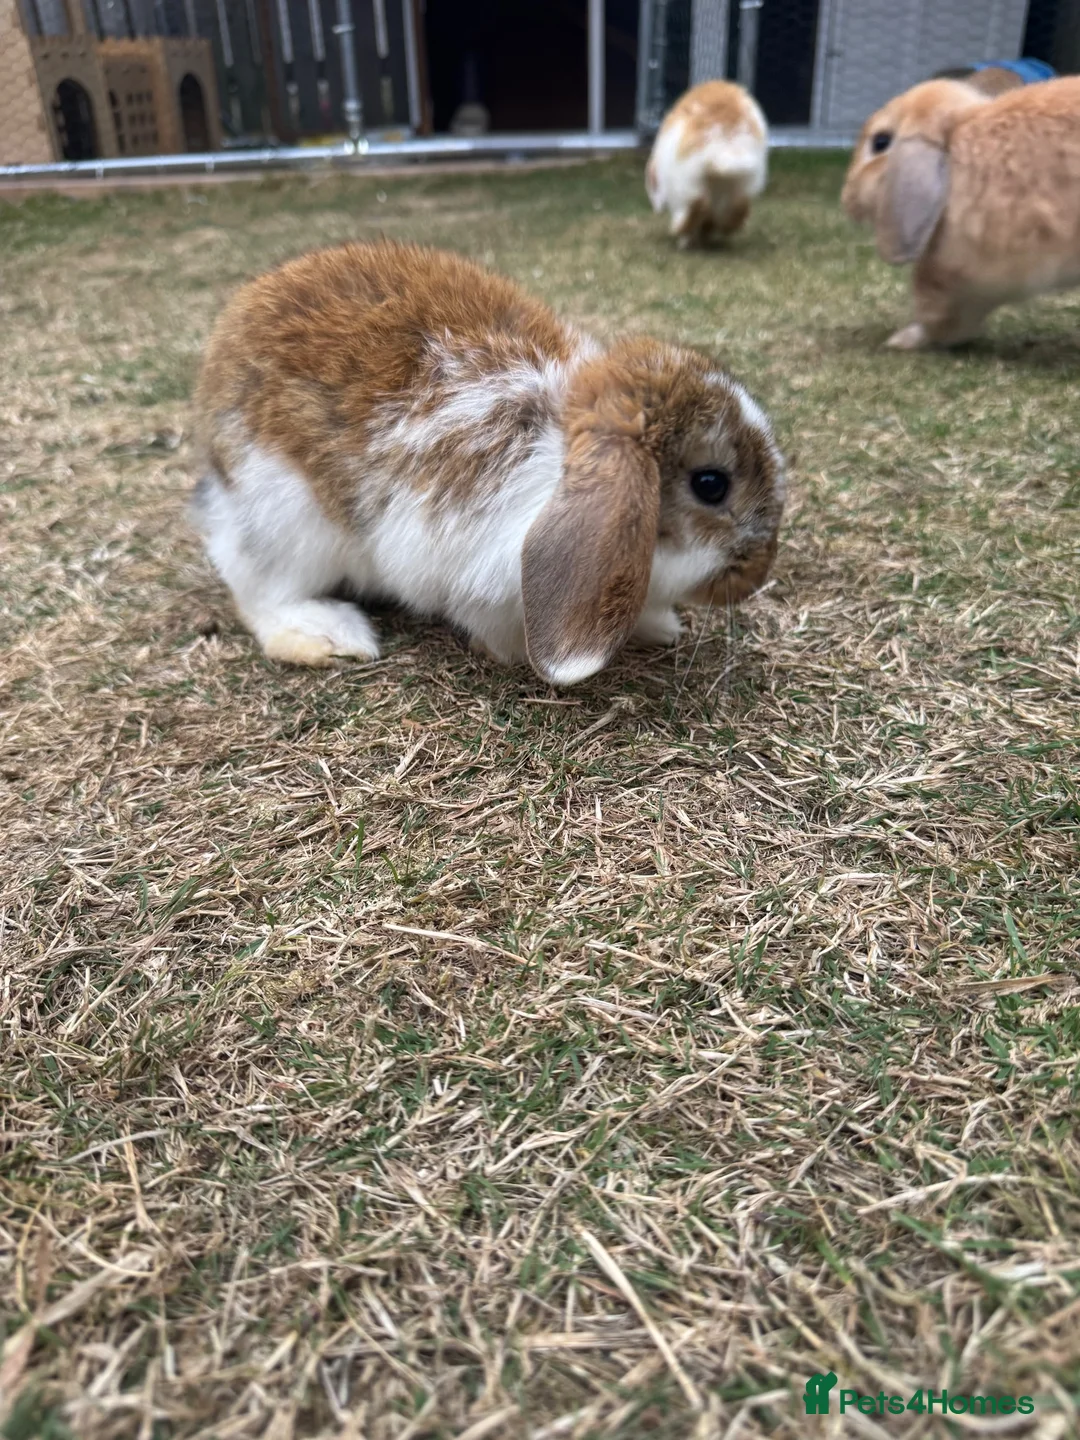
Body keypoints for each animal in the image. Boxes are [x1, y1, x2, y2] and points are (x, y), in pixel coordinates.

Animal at [191, 241, 785, 687]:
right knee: (258, 590)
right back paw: (328, 635)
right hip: (289, 519)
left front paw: (659, 627)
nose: (757, 573)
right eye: (711, 484)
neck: (561, 454)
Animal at [646, 80, 768, 247]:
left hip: (689, 179)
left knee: (698, 206)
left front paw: (688, 238)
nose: (655, 209)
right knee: (739, 205)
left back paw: (679, 233)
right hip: (741, 179)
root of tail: (724, 138)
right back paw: (724, 229)